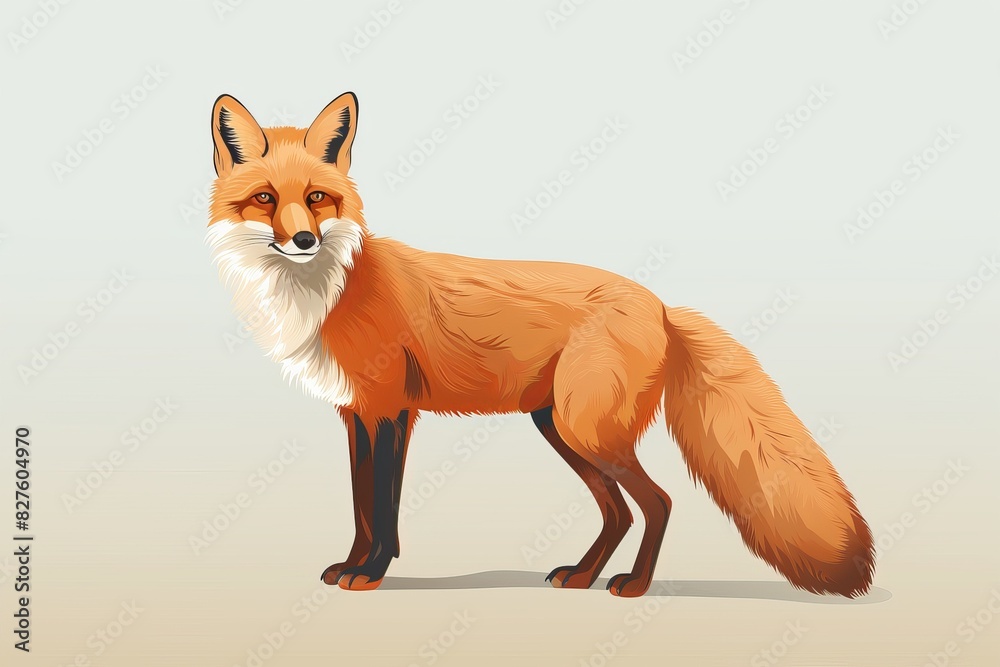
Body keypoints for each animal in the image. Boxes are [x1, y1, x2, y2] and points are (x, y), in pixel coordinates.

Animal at [206, 92, 875, 598]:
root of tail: (660, 304)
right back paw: (581, 575)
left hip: (588, 431)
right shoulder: (357, 415)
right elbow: (361, 505)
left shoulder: (391, 410)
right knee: (619, 511)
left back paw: (633, 585)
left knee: (656, 503)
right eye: (265, 198)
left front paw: (370, 573)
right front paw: (352, 564)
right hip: (559, 427)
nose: (302, 240)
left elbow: (384, 507)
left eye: (317, 198)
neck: (330, 290)